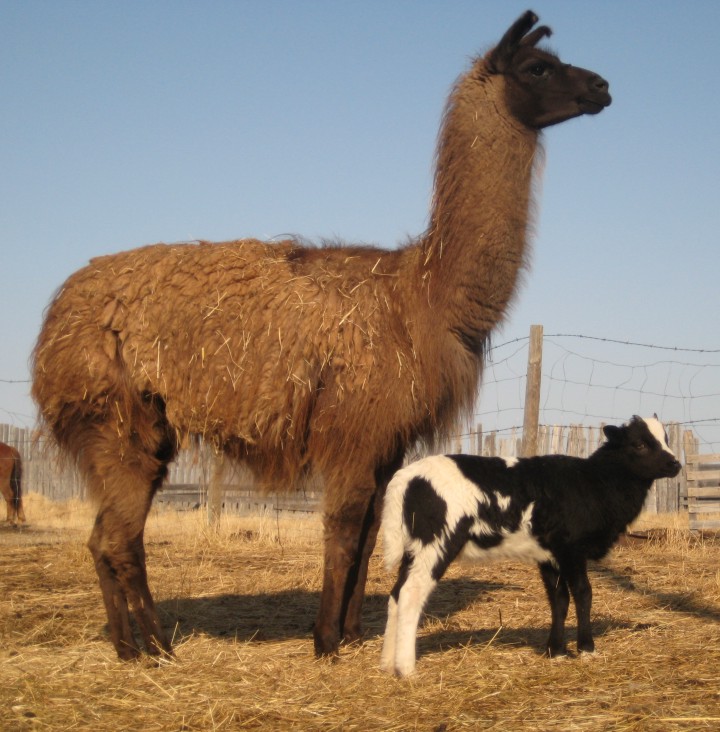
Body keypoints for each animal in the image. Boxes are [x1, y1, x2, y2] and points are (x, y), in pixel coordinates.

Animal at [31, 11, 611, 660]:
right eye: (538, 67)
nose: (602, 87)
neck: (420, 295)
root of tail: (56, 317)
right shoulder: (353, 428)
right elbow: (341, 528)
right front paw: (326, 640)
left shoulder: (386, 439)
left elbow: (371, 533)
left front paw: (356, 631)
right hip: (115, 419)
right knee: (120, 538)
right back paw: (158, 645)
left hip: (139, 432)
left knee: (100, 537)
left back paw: (127, 645)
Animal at [380, 416, 682, 676]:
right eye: (640, 444)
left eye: (666, 439)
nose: (676, 464)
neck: (595, 482)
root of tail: (404, 479)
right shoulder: (572, 549)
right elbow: (583, 594)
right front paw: (586, 648)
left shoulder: (549, 555)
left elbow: (559, 599)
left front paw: (556, 651)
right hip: (436, 541)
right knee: (411, 593)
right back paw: (406, 669)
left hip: (414, 547)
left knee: (395, 594)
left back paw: (387, 662)